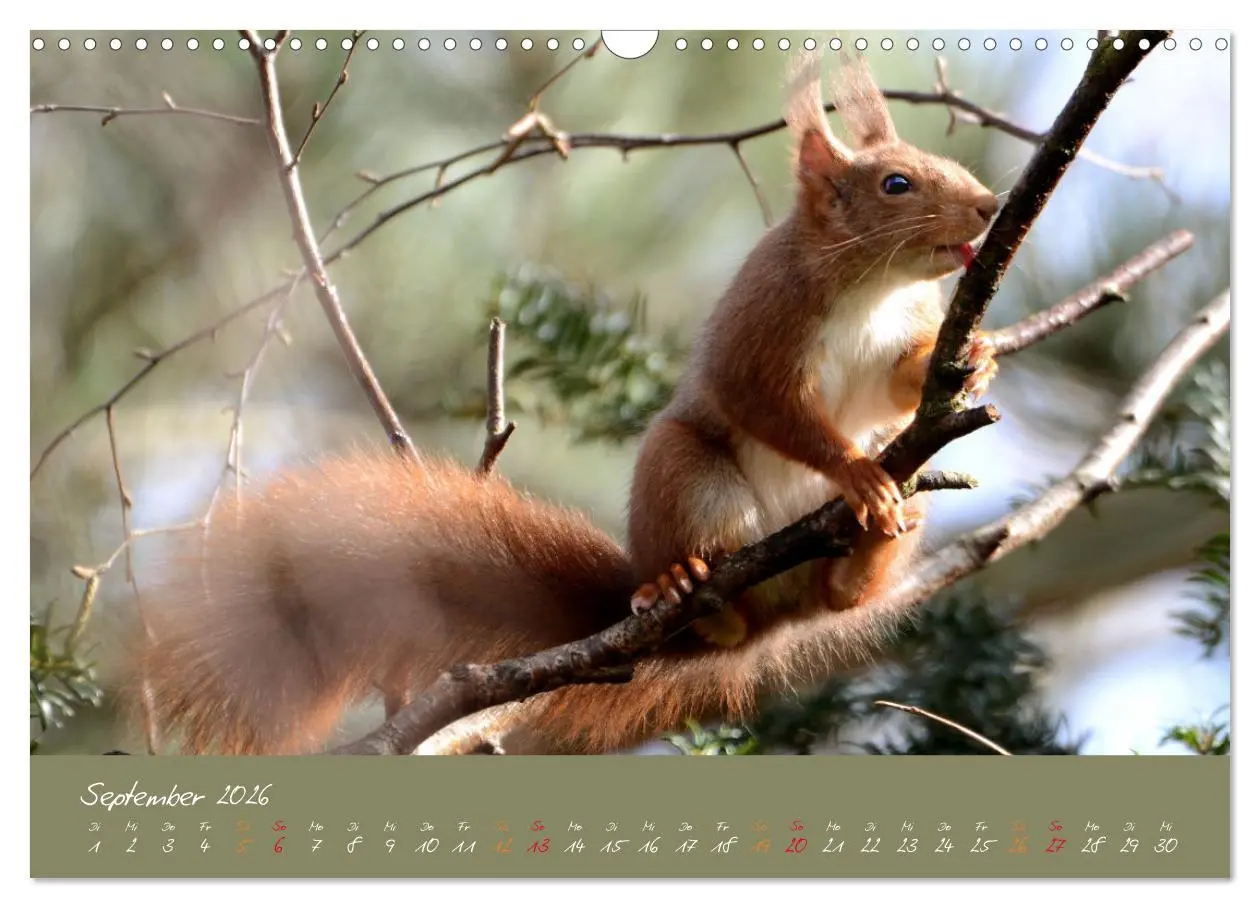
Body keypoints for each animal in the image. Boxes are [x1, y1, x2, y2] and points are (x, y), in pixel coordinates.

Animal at [128, 55, 999, 756]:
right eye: (896, 184)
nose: (991, 206)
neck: (872, 288)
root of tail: (780, 613)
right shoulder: (763, 326)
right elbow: (765, 404)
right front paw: (853, 470)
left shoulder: (899, 335)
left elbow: (897, 387)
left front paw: (978, 357)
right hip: (684, 471)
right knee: (722, 596)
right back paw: (684, 582)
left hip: (881, 513)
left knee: (848, 591)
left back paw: (869, 550)